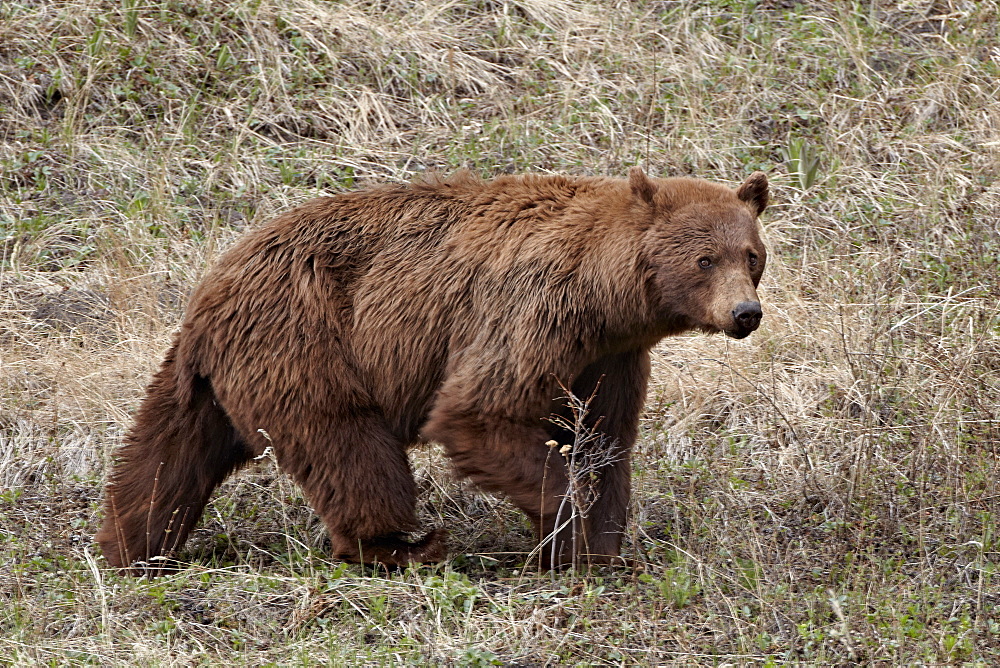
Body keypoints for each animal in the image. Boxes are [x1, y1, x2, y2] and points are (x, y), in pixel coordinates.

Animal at [95, 164, 764, 572]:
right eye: (705, 259)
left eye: (752, 254)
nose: (746, 313)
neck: (607, 296)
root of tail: (212, 285)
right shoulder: (533, 312)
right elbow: (478, 413)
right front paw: (565, 526)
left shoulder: (610, 356)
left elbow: (603, 441)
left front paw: (600, 547)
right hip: (305, 339)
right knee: (349, 447)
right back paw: (400, 546)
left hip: (217, 375)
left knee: (167, 454)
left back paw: (131, 546)